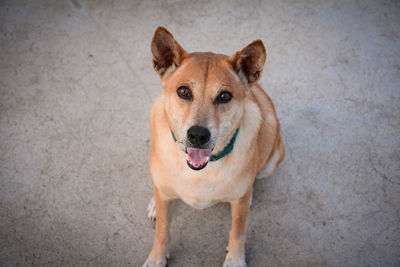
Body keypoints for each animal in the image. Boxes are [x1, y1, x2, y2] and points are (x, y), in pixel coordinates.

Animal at [144, 27, 284, 267]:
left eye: (224, 96)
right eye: (183, 91)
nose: (198, 135)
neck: (201, 171)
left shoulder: (239, 210)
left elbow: (238, 232)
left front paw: (235, 259)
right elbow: (162, 232)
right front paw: (156, 259)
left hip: (273, 156)